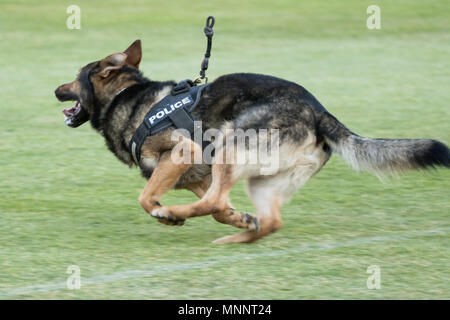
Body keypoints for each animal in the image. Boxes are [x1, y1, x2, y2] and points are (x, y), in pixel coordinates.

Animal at [54, 41, 448, 244]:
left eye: (73, 78)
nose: (56, 89)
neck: (129, 99)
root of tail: (319, 111)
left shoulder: (183, 153)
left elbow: (147, 197)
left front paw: (163, 213)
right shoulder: (199, 175)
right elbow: (222, 209)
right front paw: (240, 220)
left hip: (231, 145)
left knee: (215, 203)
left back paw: (174, 214)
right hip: (260, 179)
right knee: (264, 219)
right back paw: (241, 236)